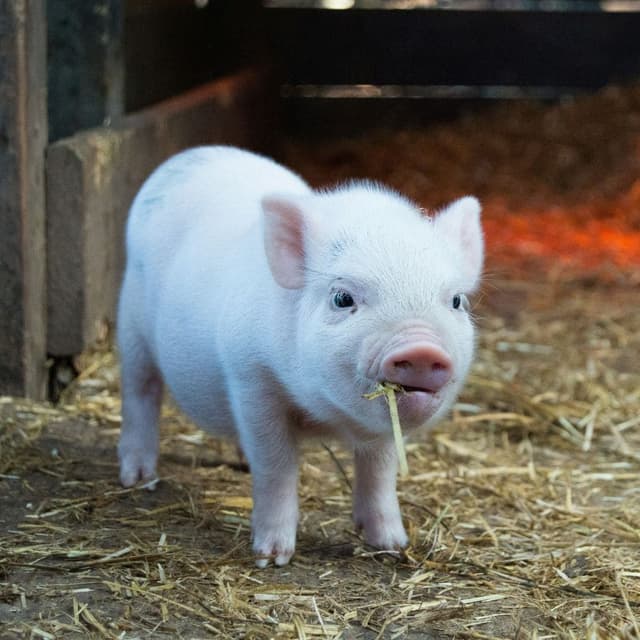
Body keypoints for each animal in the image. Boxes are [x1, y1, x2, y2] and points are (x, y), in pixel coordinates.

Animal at [117, 145, 483, 568]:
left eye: (456, 301)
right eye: (342, 298)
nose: (421, 348)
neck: (325, 416)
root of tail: (190, 155)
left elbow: (379, 471)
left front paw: (393, 545)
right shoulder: (251, 379)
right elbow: (276, 466)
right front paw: (271, 558)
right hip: (131, 325)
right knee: (140, 391)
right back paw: (137, 478)